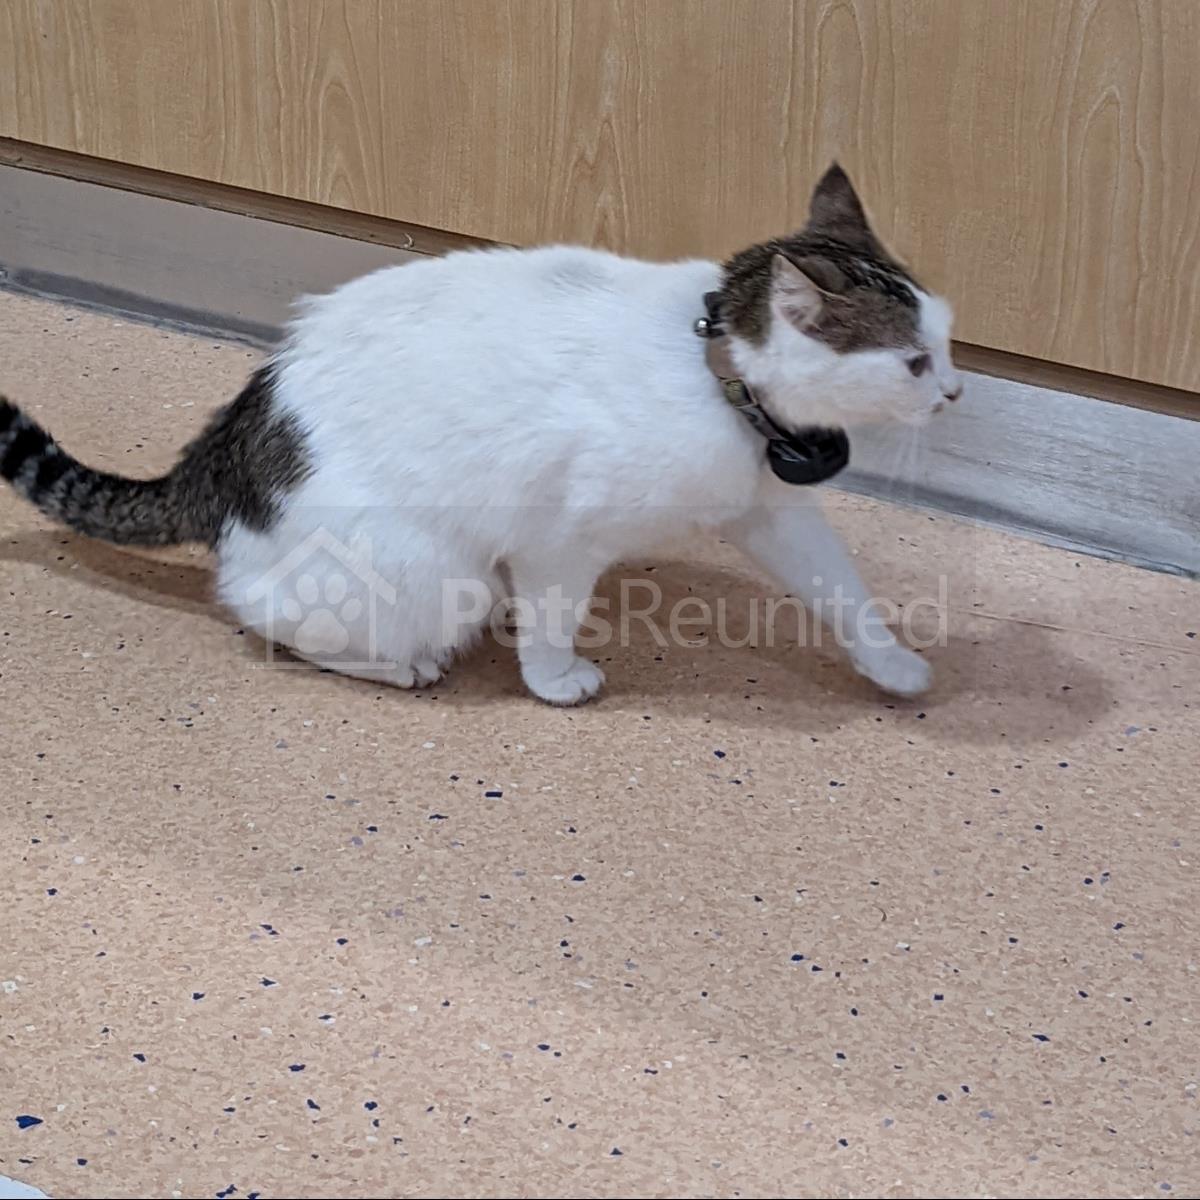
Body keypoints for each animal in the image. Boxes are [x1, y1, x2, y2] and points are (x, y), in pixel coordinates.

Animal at [0, 164, 961, 705]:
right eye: (914, 362)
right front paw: (555, 680)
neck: (714, 373)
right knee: (269, 615)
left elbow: (842, 589)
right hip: (429, 572)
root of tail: (223, 449)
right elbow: (554, 616)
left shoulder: (770, 508)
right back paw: (404, 665)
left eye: (947, 341)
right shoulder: (563, 538)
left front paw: (894, 667)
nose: (954, 390)